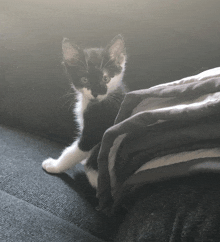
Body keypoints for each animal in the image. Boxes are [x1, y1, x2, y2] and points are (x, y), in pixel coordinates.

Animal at [42, 35, 127, 188]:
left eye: (105, 78)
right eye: (85, 79)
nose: (96, 93)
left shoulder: (96, 129)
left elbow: (74, 151)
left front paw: (55, 165)